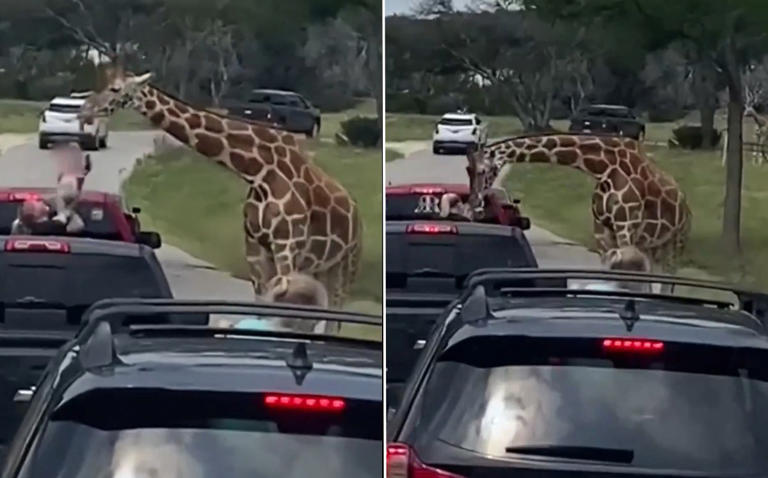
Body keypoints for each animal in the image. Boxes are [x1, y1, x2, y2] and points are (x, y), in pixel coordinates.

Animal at [80, 67, 363, 322]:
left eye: (116, 89)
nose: (85, 109)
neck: (259, 171)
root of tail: (356, 213)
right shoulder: (255, 247)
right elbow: (261, 303)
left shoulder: (287, 245)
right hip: (319, 267)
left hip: (345, 265)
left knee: (335, 315)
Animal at [466, 133, 692, 282]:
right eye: (468, 169)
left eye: (482, 171)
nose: (473, 203)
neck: (603, 169)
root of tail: (686, 205)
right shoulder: (602, 232)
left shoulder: (626, 227)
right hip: (653, 247)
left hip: (676, 244)